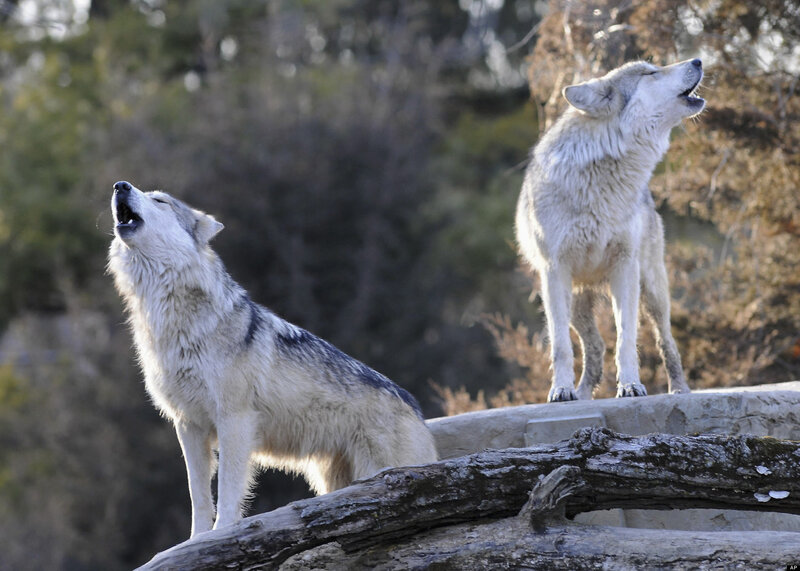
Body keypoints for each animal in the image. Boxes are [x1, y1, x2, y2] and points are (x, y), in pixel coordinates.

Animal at [108, 181, 438, 538]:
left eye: (160, 201)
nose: (120, 185)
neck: (170, 321)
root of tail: (416, 410)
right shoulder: (188, 425)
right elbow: (198, 496)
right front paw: (196, 541)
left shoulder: (234, 420)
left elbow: (227, 490)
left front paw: (222, 533)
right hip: (331, 481)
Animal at [515, 59, 704, 402]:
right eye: (650, 73)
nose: (698, 60)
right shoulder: (554, 272)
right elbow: (560, 346)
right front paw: (560, 390)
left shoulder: (625, 267)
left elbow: (627, 337)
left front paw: (630, 385)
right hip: (574, 303)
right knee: (594, 347)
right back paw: (580, 394)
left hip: (653, 291)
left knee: (665, 341)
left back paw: (679, 390)